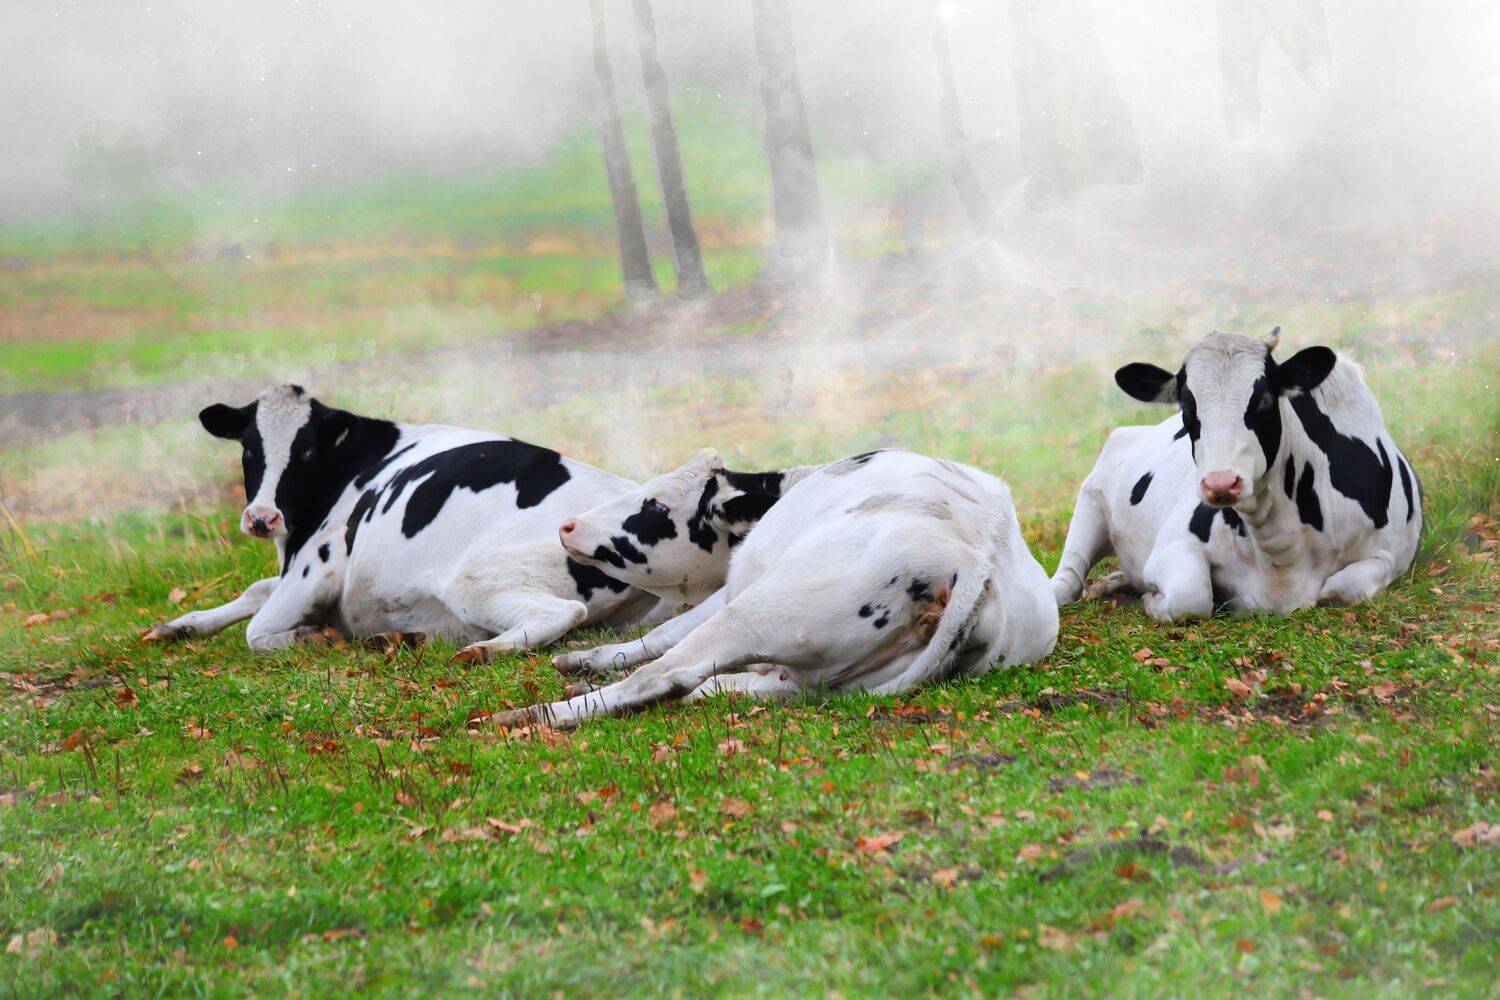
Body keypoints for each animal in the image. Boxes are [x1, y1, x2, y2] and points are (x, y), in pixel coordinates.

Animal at [143, 383, 664, 660]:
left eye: (307, 451)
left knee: (561, 613)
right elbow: (254, 589)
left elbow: (257, 631)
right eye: (249, 448)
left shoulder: (319, 567)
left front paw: (310, 636)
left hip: (474, 579)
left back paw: (479, 650)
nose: (262, 518)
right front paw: (182, 625)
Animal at [494, 448, 1059, 728]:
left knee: (670, 675)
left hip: (761, 610)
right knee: (736, 687)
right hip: (817, 668)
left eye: (654, 504)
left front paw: (586, 659)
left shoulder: (729, 588)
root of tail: (980, 555)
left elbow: (663, 636)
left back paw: (531, 715)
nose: (568, 526)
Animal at [1050, 328, 1422, 622]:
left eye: (1264, 400)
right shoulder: (1173, 545)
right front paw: (1151, 599)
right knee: (1069, 574)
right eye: (1186, 407)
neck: (1282, 549)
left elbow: (1342, 587)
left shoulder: (1393, 553)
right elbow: (1191, 597)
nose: (1221, 483)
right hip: (1090, 499)